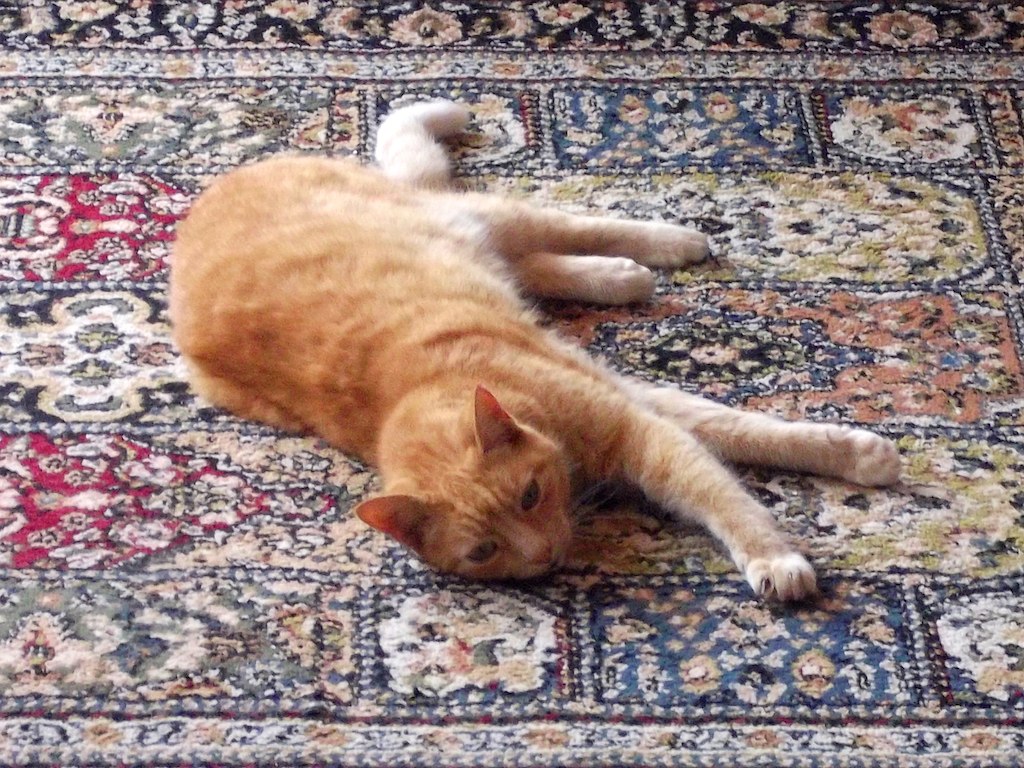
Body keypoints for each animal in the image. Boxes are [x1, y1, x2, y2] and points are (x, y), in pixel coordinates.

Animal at [172, 99, 901, 602]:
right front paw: (854, 457)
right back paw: (620, 278)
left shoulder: (634, 425)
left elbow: (730, 474)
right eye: (484, 551)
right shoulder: (628, 400)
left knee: (564, 222)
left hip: (475, 216)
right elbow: (725, 431)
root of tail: (213, 192)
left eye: (528, 495)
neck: (407, 388)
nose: (547, 554)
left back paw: (669, 243)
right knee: (536, 260)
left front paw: (785, 545)